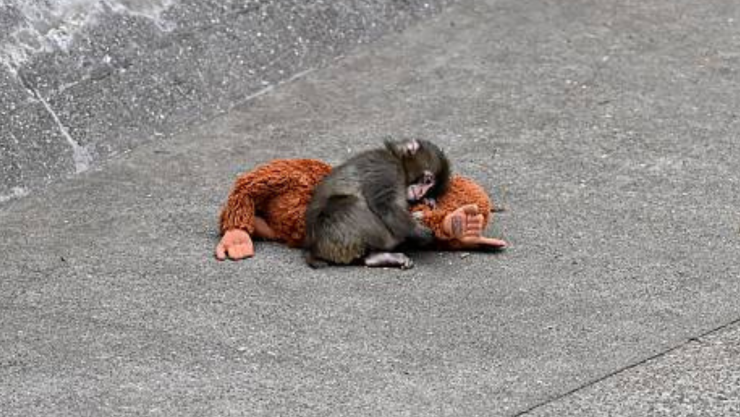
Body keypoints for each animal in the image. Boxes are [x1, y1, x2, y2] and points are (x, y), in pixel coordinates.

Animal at [303, 138, 451, 269]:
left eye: (430, 190)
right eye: (427, 181)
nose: (421, 194)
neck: (397, 161)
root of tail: (314, 248)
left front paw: (428, 201)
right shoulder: (386, 170)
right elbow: (384, 205)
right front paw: (418, 231)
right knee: (350, 204)